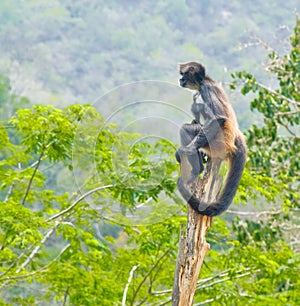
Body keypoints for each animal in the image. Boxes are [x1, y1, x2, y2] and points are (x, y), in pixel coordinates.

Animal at [176, 61, 246, 216]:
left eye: (184, 74)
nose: (180, 79)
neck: (206, 80)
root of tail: (236, 136)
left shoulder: (205, 88)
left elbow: (218, 117)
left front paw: (188, 149)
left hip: (216, 142)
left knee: (186, 127)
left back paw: (198, 169)